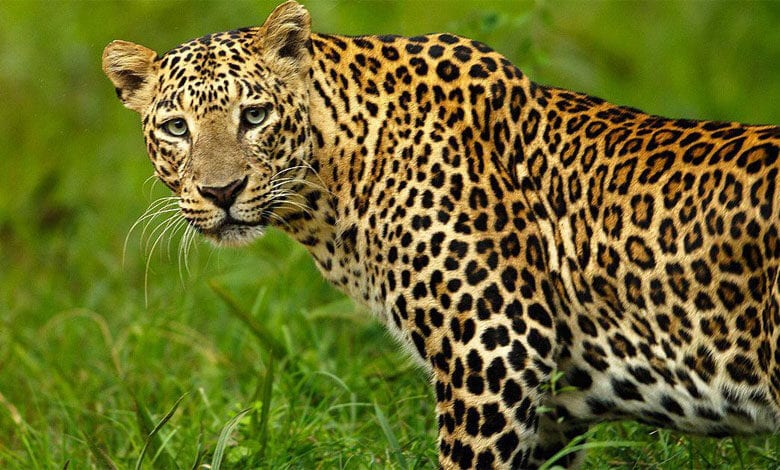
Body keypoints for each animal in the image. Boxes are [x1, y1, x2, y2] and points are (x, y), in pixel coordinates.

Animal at [102, 1, 780, 468]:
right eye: (176, 127)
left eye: (255, 115)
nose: (221, 191)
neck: (332, 186)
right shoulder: (549, 407)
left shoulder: (495, 352)